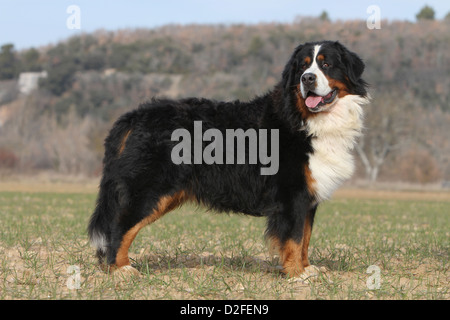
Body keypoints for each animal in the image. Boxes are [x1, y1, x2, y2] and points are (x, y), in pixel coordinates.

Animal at [89, 40, 370, 278]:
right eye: (302, 66)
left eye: (326, 64)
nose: (307, 78)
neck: (305, 119)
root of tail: (133, 116)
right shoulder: (292, 196)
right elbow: (293, 238)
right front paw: (297, 275)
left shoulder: (308, 197)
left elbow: (305, 238)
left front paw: (309, 269)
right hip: (151, 190)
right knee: (120, 227)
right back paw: (121, 270)